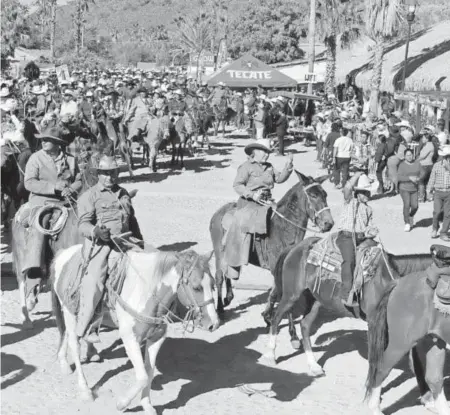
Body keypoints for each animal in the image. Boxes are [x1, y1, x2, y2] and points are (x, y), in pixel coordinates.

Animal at [51, 247, 220, 412]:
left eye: (213, 285)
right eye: (196, 287)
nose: (214, 323)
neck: (147, 292)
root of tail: (63, 254)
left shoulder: (157, 337)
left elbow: (149, 372)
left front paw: (147, 405)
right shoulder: (130, 339)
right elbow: (142, 377)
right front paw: (122, 404)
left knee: (66, 334)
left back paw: (65, 363)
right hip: (70, 313)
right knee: (74, 344)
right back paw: (85, 391)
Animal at [208, 172, 334, 318]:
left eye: (325, 194)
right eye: (313, 195)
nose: (329, 223)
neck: (284, 228)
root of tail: (218, 213)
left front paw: (269, 312)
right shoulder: (275, 266)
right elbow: (276, 291)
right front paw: (268, 314)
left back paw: (228, 297)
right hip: (219, 252)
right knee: (219, 277)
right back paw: (220, 308)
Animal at [264, 236, 432, 382]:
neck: (388, 280)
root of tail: (295, 248)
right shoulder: (374, 322)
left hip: (314, 300)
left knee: (304, 326)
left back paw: (314, 366)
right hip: (291, 295)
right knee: (276, 317)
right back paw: (270, 356)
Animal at [366, 270, 450, 412]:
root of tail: (399, 282)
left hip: (434, 341)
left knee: (434, 378)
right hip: (400, 344)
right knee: (381, 369)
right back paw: (374, 409)